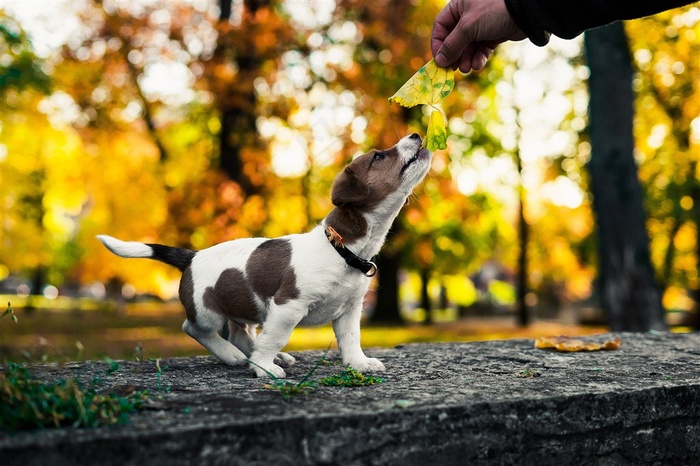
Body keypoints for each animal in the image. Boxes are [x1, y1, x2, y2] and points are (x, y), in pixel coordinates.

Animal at [95, 132, 430, 378]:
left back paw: (258, 355)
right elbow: (277, 335)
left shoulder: (350, 309)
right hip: (207, 312)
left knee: (242, 334)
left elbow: (350, 339)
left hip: (244, 307)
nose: (415, 134)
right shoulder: (288, 305)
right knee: (194, 328)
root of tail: (192, 256)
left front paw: (358, 363)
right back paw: (234, 356)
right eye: (379, 156)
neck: (341, 248)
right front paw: (264, 367)